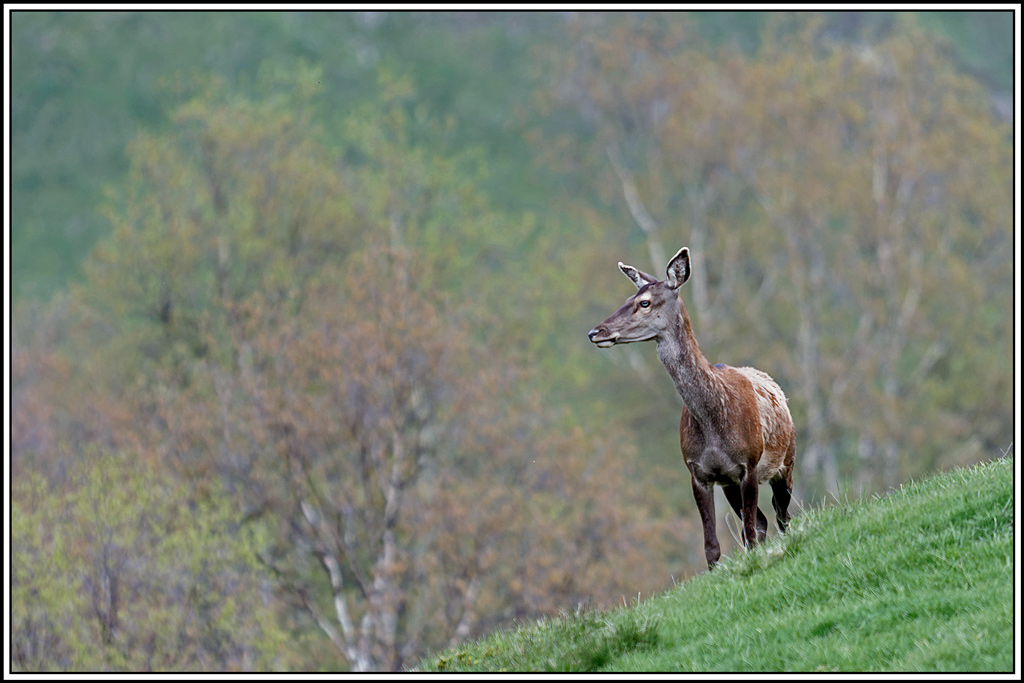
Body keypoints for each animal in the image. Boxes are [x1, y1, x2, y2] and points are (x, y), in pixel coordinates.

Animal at [588, 246, 795, 570]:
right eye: (627, 299)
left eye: (644, 302)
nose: (595, 332)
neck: (714, 423)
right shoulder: (699, 472)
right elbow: (712, 547)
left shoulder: (749, 465)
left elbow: (749, 532)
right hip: (730, 484)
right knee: (763, 520)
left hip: (786, 460)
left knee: (781, 514)